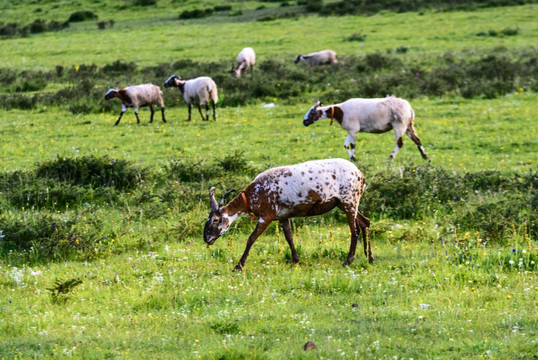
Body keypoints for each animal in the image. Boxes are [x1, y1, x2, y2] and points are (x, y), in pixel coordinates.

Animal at [203, 159, 370, 272]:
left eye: (215, 219)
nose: (207, 238)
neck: (252, 196)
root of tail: (361, 175)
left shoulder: (267, 215)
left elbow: (251, 238)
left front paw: (238, 266)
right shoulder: (283, 216)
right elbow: (289, 237)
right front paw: (295, 260)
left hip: (349, 200)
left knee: (354, 230)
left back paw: (348, 260)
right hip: (344, 203)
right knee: (365, 222)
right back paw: (370, 257)